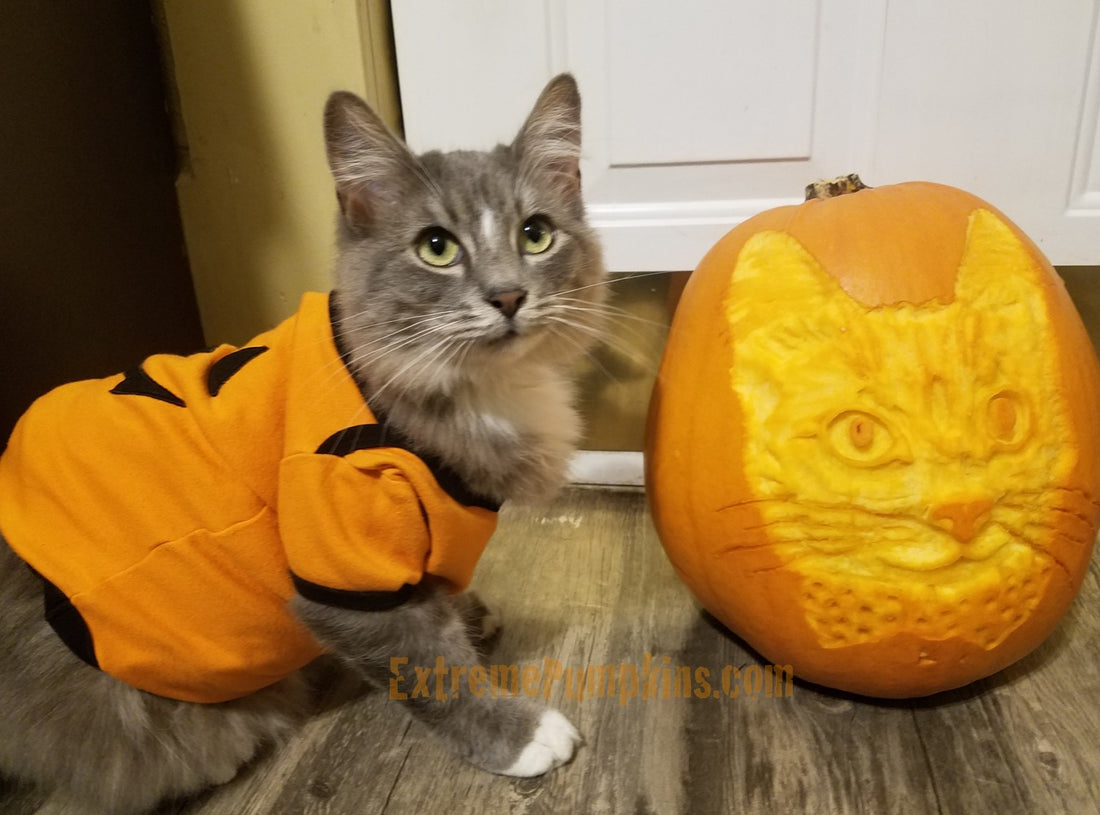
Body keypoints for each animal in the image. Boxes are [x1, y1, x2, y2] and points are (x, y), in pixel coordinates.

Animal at [0, 73, 607, 809]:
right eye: (436, 247)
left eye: (536, 234)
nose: (510, 295)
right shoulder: (342, 565)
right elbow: (431, 667)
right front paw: (519, 734)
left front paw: (468, 611)